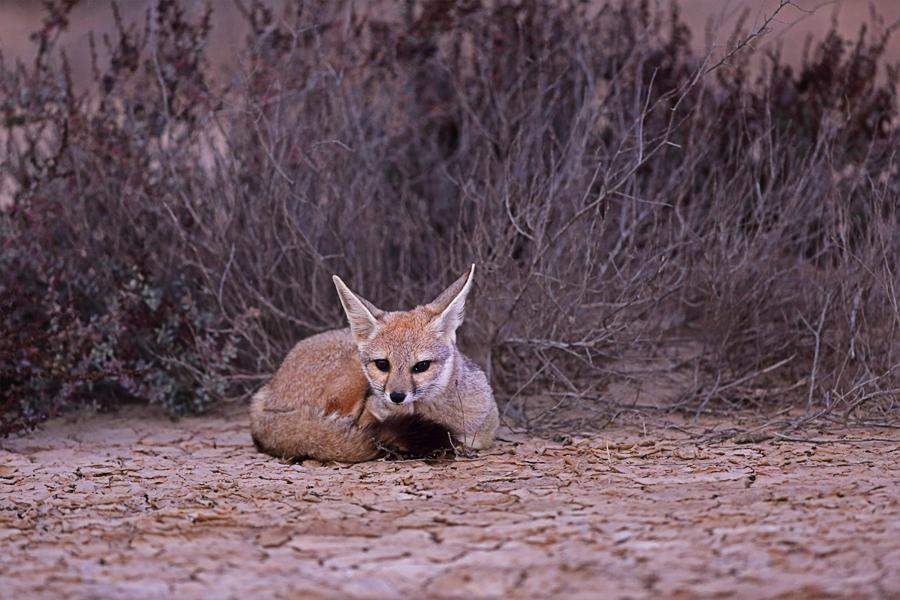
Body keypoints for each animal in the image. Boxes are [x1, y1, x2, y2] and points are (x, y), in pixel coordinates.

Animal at [250, 264, 499, 462]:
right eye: (382, 364)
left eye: (421, 366)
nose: (396, 396)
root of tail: (265, 391)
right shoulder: (369, 414)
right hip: (351, 378)